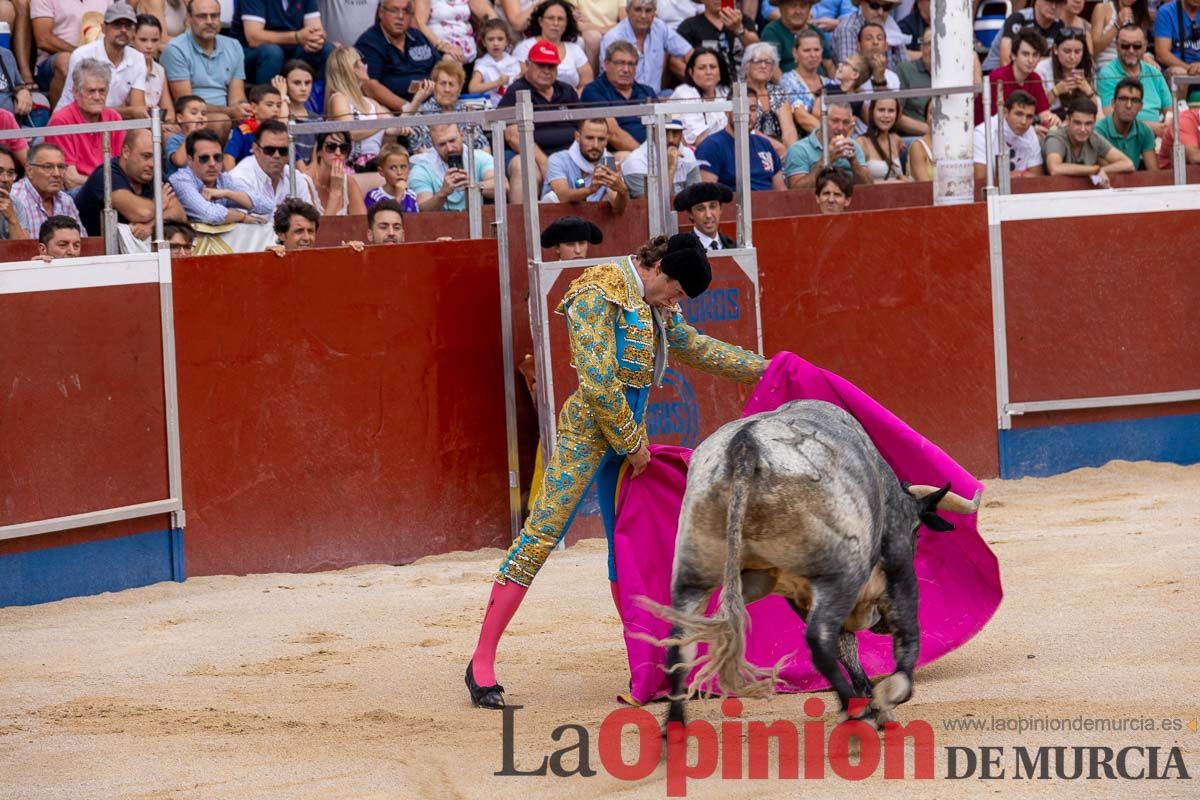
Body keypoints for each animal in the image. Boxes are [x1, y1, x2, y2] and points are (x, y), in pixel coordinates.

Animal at [652, 400, 979, 734]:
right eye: (916, 531)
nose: (879, 625)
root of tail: (745, 446)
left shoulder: (795, 595)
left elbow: (846, 647)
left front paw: (871, 698)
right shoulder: (895, 567)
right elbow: (905, 635)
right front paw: (885, 698)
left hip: (694, 570)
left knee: (680, 643)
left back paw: (675, 727)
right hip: (841, 575)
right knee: (820, 638)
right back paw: (858, 712)